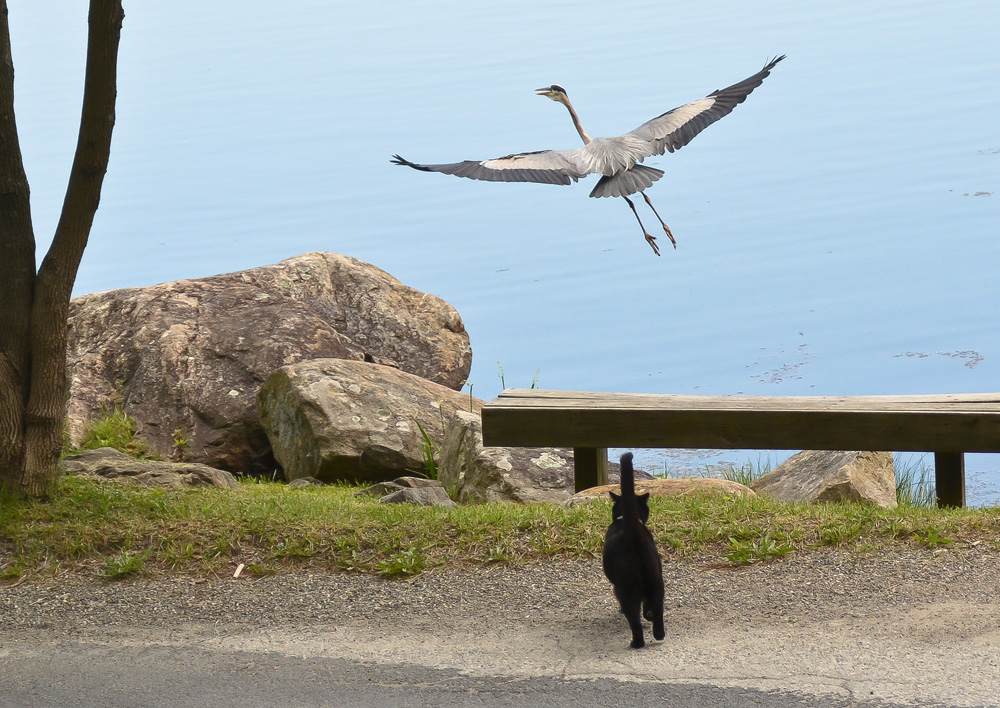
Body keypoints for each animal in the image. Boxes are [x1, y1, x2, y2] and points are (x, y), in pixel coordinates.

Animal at [600, 454, 664, 648]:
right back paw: (658, 633)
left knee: (634, 619)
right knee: (657, 607)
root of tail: (633, 536)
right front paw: (648, 616)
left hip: (626, 588)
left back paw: (637, 643)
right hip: (656, 580)